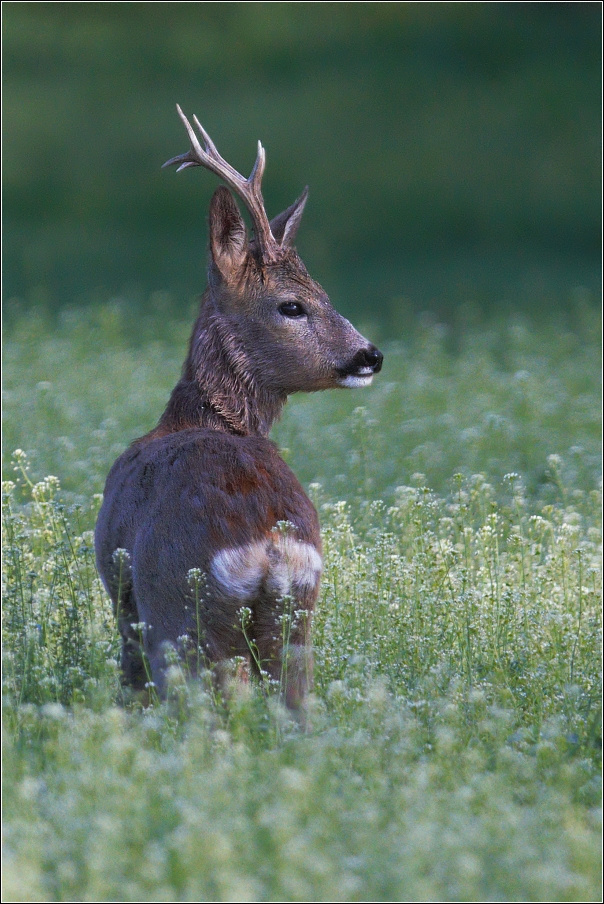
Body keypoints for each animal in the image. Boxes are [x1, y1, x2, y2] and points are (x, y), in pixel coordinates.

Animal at [97, 106, 384, 708]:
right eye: (295, 304)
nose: (369, 355)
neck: (193, 419)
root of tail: (268, 547)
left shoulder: (120, 591)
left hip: (180, 612)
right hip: (297, 617)